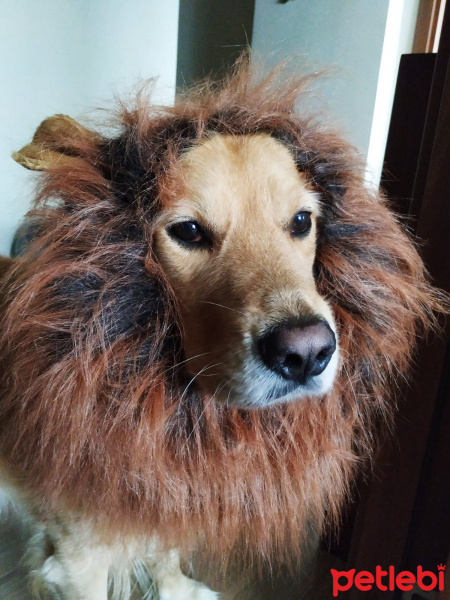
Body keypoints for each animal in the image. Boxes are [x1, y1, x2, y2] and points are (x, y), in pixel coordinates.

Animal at [0, 62, 442, 600]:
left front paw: (177, 589)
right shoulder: (76, 559)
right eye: (188, 231)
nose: (306, 353)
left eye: (301, 221)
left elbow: (167, 557)